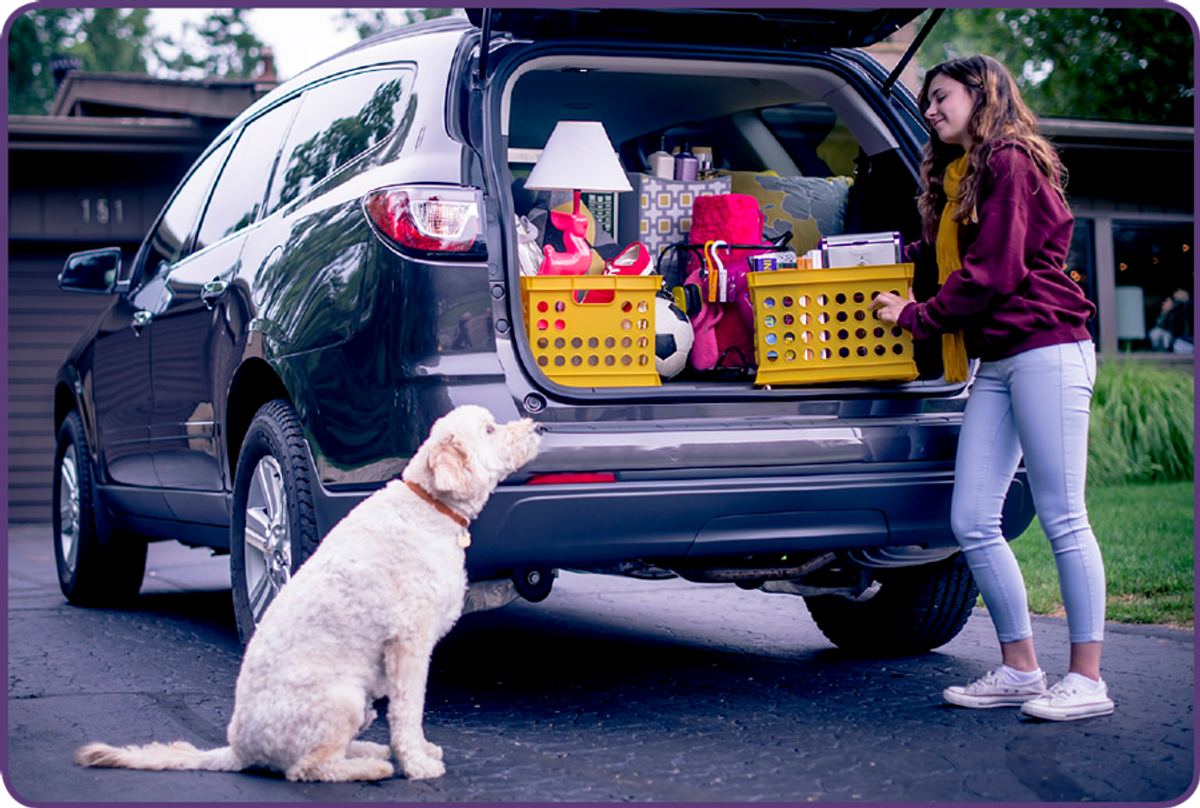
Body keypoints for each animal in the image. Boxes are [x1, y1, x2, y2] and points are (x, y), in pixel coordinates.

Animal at [76, 405, 544, 777]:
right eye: (489, 430)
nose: (538, 426)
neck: (428, 504)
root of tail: (237, 748)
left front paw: (420, 752)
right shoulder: (408, 645)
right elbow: (408, 710)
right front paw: (417, 763)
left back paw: (369, 750)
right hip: (342, 699)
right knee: (307, 768)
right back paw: (370, 767)